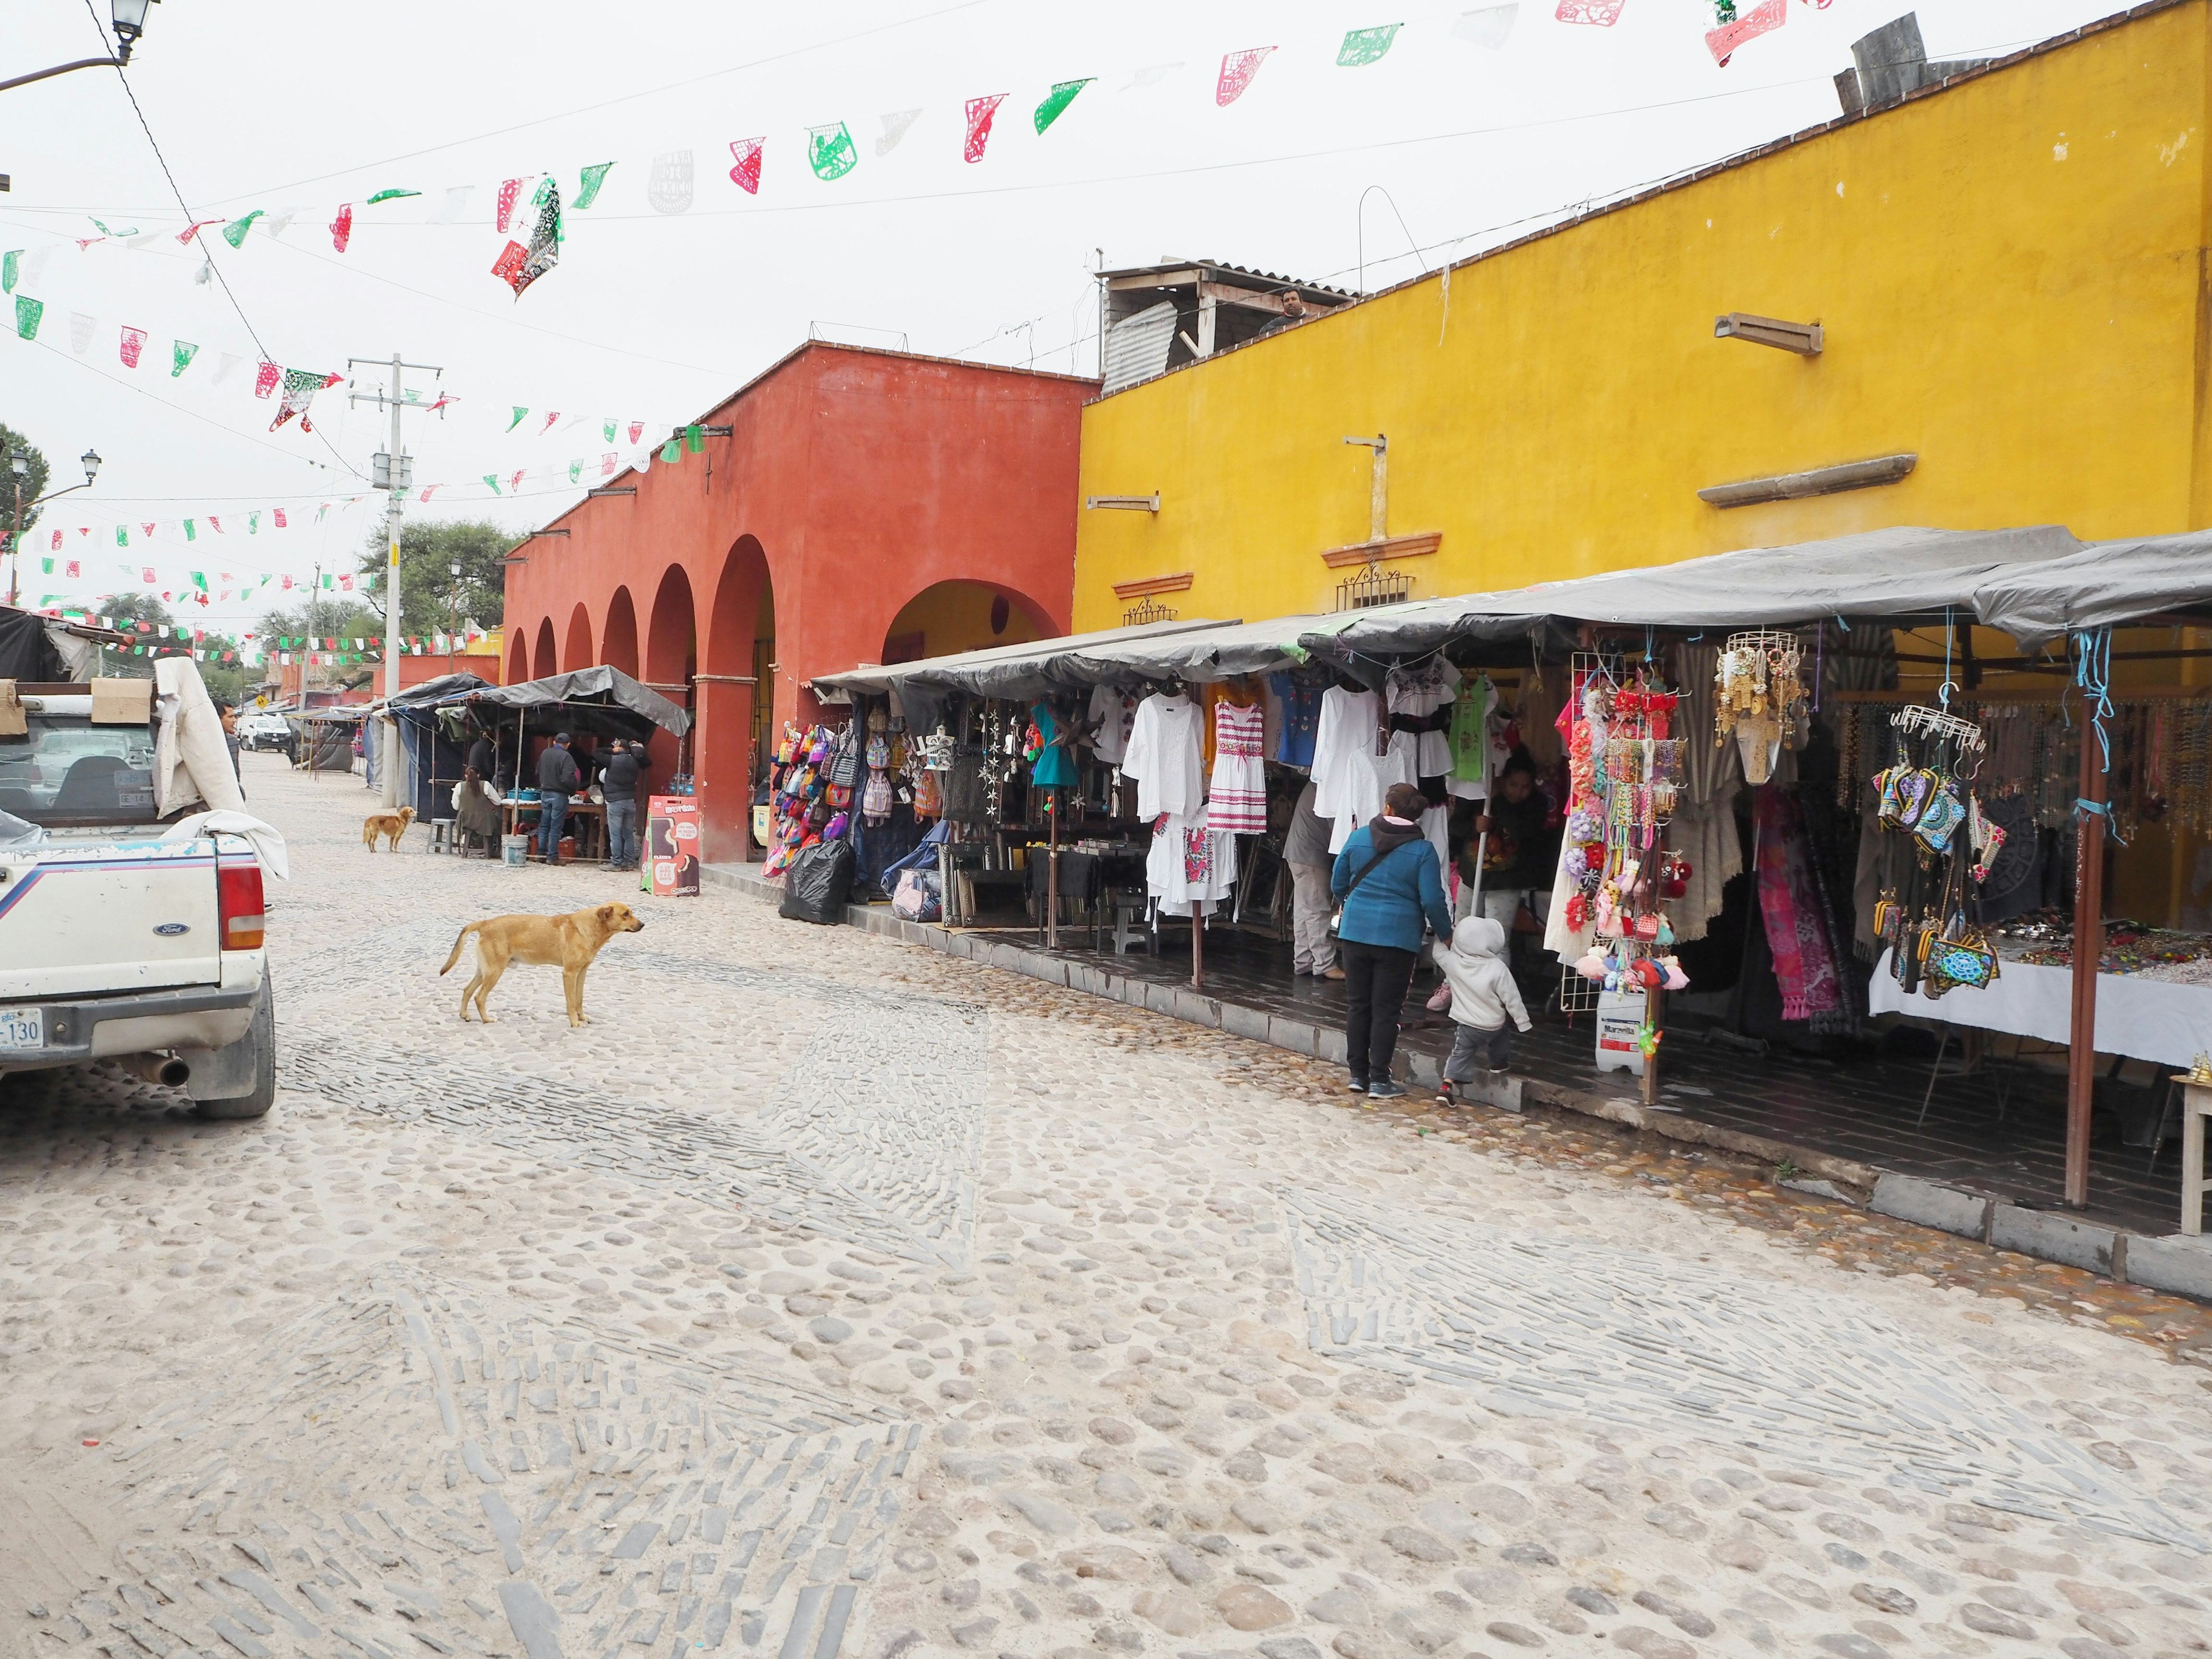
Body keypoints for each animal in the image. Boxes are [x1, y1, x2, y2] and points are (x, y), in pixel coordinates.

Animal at [431, 911, 641, 1026]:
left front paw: (582, 1018)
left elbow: (579, 1000)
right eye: (625, 914)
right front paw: (575, 1023)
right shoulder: (569, 974)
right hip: (494, 972)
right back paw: (487, 1020)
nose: (643, 924)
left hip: (484, 971)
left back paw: (465, 1015)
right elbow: (571, 1003)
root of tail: (485, 923)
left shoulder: (582, 973)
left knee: (467, 990)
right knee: (479, 997)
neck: (587, 929)